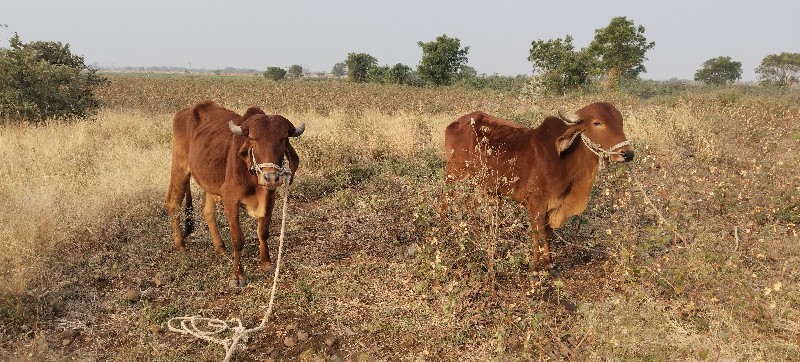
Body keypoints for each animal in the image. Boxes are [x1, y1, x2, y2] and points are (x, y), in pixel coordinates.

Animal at [167, 100, 304, 288]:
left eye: (283, 139)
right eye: (252, 139)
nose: (271, 177)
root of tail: (186, 111)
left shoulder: (270, 197)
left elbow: (263, 231)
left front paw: (266, 262)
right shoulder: (230, 199)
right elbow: (238, 239)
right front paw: (237, 276)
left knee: (207, 211)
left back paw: (220, 248)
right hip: (179, 169)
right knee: (173, 204)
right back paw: (180, 244)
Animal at [446, 102, 636, 274]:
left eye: (620, 122)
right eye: (597, 123)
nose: (628, 154)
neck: (565, 160)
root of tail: (456, 123)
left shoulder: (553, 206)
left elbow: (548, 234)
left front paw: (549, 264)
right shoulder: (536, 203)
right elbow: (538, 234)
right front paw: (535, 270)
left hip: (480, 184)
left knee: (469, 205)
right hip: (453, 175)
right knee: (445, 199)